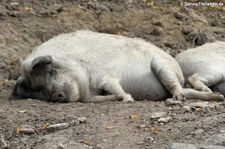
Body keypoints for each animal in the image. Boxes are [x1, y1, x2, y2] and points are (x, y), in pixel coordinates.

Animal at [10, 30, 223, 102]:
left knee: (176, 86)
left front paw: (128, 99)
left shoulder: (103, 74)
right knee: (184, 90)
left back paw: (181, 97)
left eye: (52, 71)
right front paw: (125, 98)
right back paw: (216, 97)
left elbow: (113, 84)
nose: (57, 95)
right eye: (38, 88)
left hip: (161, 65)